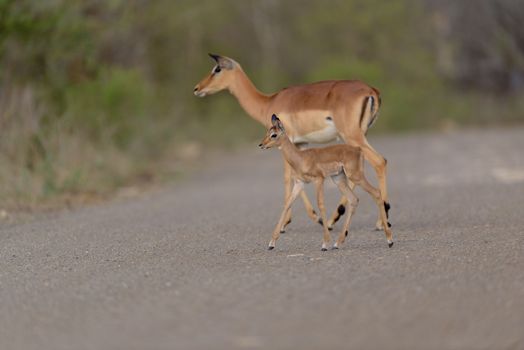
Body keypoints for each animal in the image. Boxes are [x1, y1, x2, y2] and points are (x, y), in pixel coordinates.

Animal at [260, 116, 390, 250]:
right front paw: (271, 243)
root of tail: (358, 149)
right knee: (354, 199)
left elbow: (321, 205)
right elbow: (287, 204)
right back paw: (337, 243)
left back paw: (389, 240)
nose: (261, 145)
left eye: (274, 134)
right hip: (339, 179)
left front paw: (324, 243)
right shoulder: (299, 183)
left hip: (356, 176)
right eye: (267, 132)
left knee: (376, 192)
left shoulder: (319, 179)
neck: (301, 158)